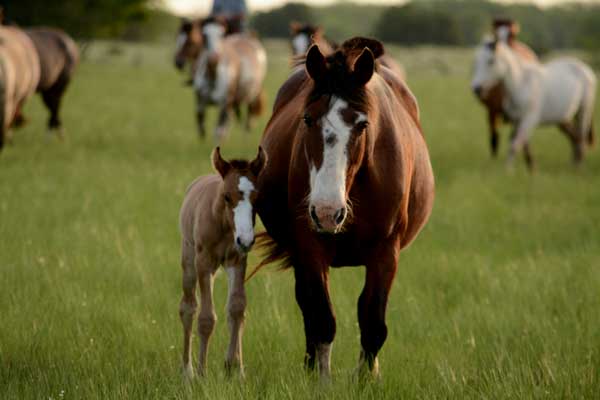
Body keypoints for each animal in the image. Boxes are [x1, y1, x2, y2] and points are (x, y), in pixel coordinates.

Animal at [178, 146, 268, 378]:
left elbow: (236, 309)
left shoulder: (238, 260)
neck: (223, 224)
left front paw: (236, 370)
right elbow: (206, 317)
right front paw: (202, 374)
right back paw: (187, 371)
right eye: (227, 196)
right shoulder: (204, 263)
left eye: (257, 197)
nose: (245, 239)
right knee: (188, 307)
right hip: (189, 260)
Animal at [255, 37, 434, 378]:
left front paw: (366, 379)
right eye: (307, 119)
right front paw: (320, 379)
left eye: (362, 124)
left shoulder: (385, 252)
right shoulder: (310, 248)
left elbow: (372, 322)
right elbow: (322, 319)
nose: (327, 212)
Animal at [474, 36, 596, 168]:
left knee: (581, 137)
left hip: (583, 112)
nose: (476, 88)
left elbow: (515, 145)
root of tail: (588, 71)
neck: (521, 85)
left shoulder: (529, 120)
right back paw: (574, 163)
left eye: (491, 61)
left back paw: (578, 166)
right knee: (575, 137)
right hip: (567, 117)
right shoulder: (516, 121)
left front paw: (508, 170)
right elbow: (515, 144)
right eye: (476, 61)